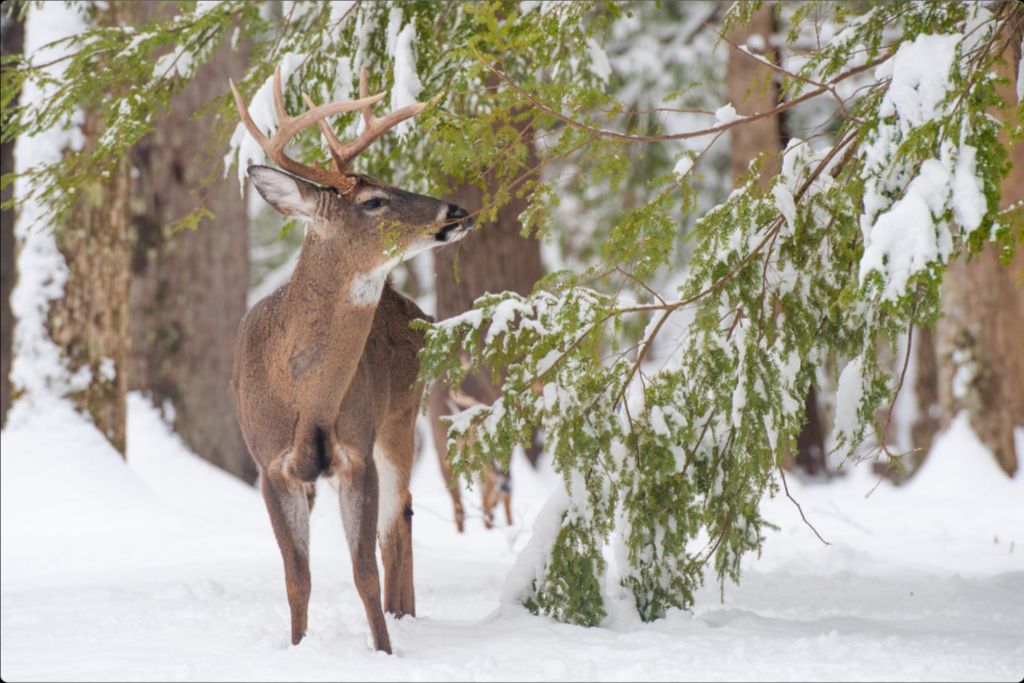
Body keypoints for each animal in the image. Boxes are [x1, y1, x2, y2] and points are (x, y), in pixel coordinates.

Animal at [228, 65, 471, 655]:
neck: (304, 395)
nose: (456, 211)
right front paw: (298, 647)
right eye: (374, 202)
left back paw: (403, 617)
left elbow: (364, 571)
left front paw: (383, 651)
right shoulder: (270, 464)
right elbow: (297, 576)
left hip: (400, 419)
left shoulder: (357, 450)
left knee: (399, 517)